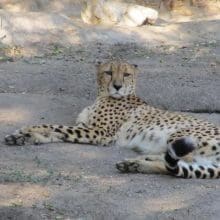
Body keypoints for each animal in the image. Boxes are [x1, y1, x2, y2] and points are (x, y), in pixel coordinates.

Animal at [4, 61, 220, 178]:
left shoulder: (99, 133)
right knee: (177, 162)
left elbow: (54, 126)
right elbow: (54, 132)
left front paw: (26, 130)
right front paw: (24, 137)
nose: (117, 86)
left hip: (181, 134)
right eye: (108, 72)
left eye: (126, 74)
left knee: (178, 162)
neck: (103, 95)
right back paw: (137, 162)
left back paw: (137, 163)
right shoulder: (84, 127)